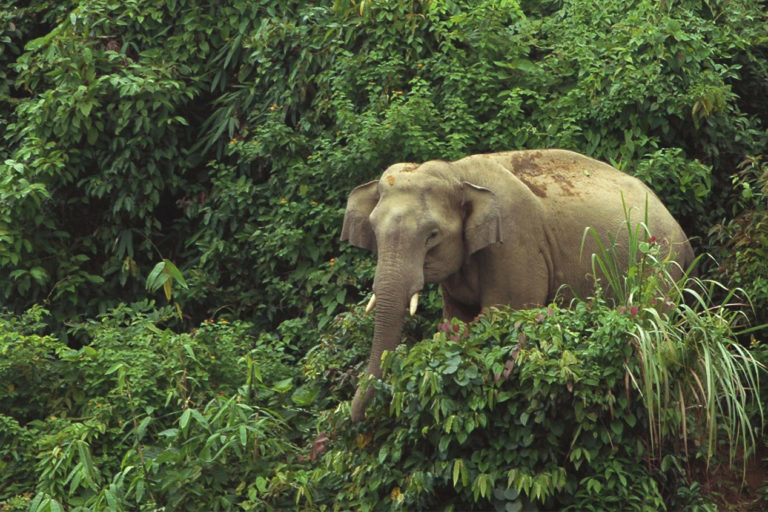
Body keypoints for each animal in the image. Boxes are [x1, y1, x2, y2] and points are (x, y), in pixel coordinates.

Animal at [340, 148, 692, 420]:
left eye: (432, 236)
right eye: (373, 229)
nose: (358, 420)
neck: (458, 173)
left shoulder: (514, 244)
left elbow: (502, 317)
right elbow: (456, 321)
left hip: (660, 265)